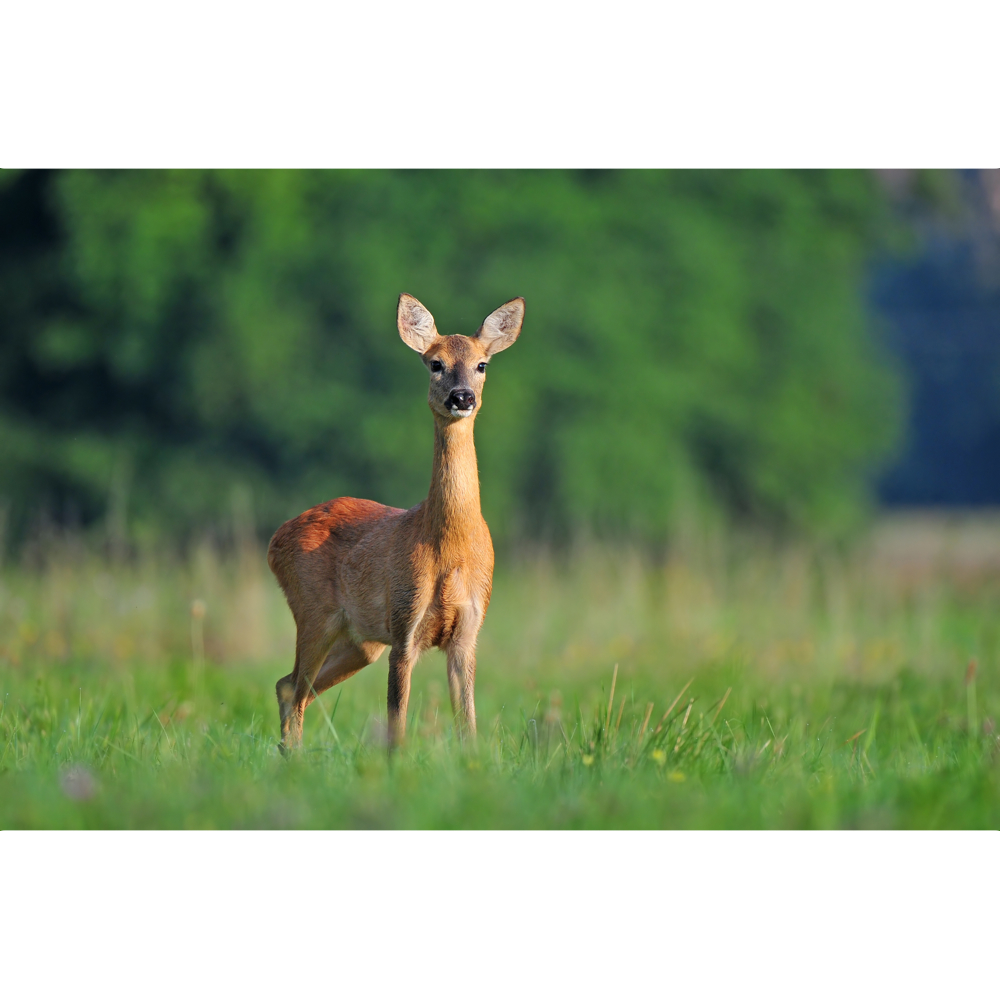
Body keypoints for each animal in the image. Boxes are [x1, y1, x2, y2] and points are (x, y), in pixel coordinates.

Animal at [266, 293, 525, 752]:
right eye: (435, 363)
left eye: (482, 365)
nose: (461, 397)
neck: (449, 547)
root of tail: (274, 540)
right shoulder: (405, 625)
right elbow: (396, 726)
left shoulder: (467, 631)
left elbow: (468, 726)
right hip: (314, 613)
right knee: (294, 689)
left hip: (360, 640)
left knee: (289, 685)